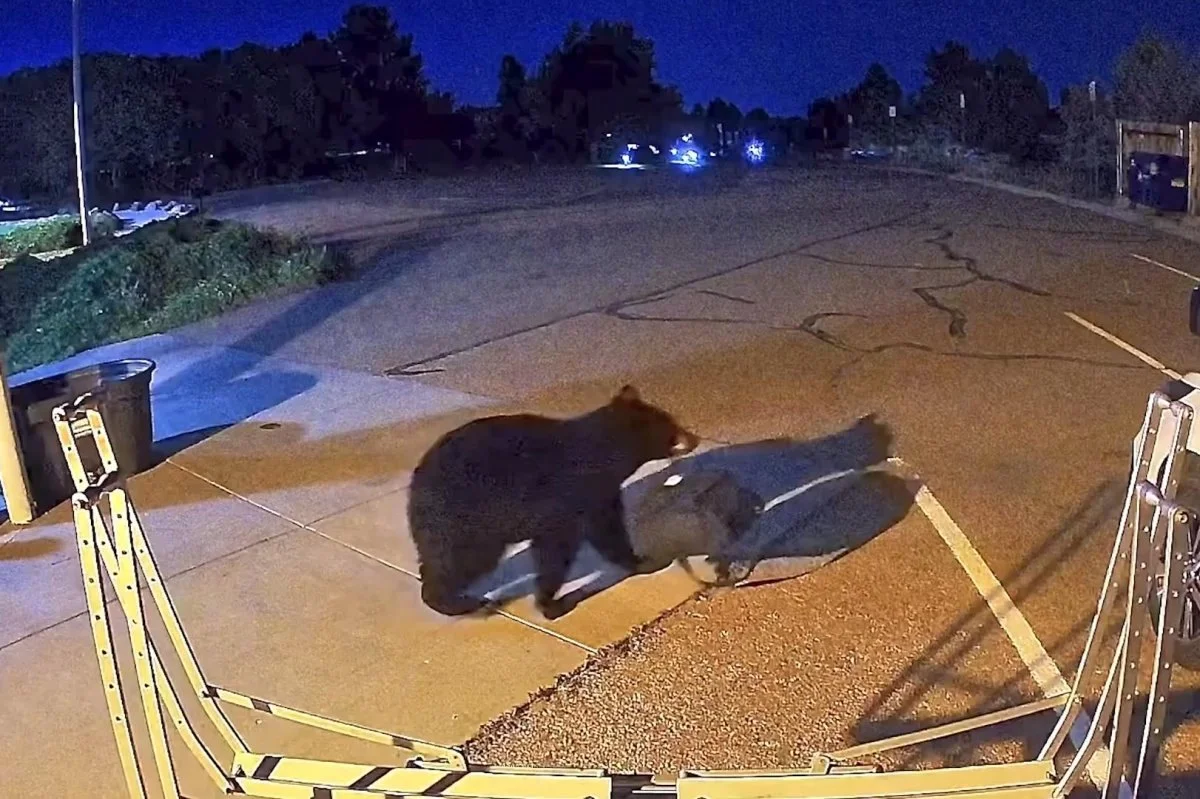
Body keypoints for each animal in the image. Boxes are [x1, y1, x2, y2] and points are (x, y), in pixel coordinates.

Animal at [407, 385, 700, 620]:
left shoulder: (598, 495)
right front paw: (549, 603)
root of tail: (416, 484)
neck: (602, 455)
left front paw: (637, 560)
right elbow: (556, 548)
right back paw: (457, 602)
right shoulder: (565, 497)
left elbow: (608, 530)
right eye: (673, 429)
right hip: (468, 520)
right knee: (463, 561)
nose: (695, 438)